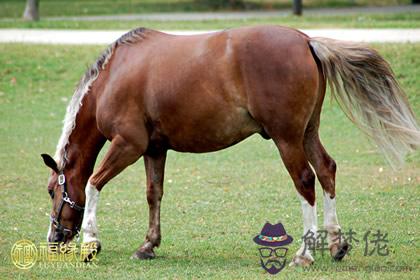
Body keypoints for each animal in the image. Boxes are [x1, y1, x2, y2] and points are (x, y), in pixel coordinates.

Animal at [40, 25, 420, 264]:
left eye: (51, 190)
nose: (53, 239)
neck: (113, 78)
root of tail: (306, 40)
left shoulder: (128, 145)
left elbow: (93, 183)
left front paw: (91, 242)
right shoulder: (154, 149)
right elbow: (154, 194)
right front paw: (148, 245)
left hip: (287, 138)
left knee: (306, 181)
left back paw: (305, 254)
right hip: (308, 133)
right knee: (326, 171)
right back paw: (337, 243)